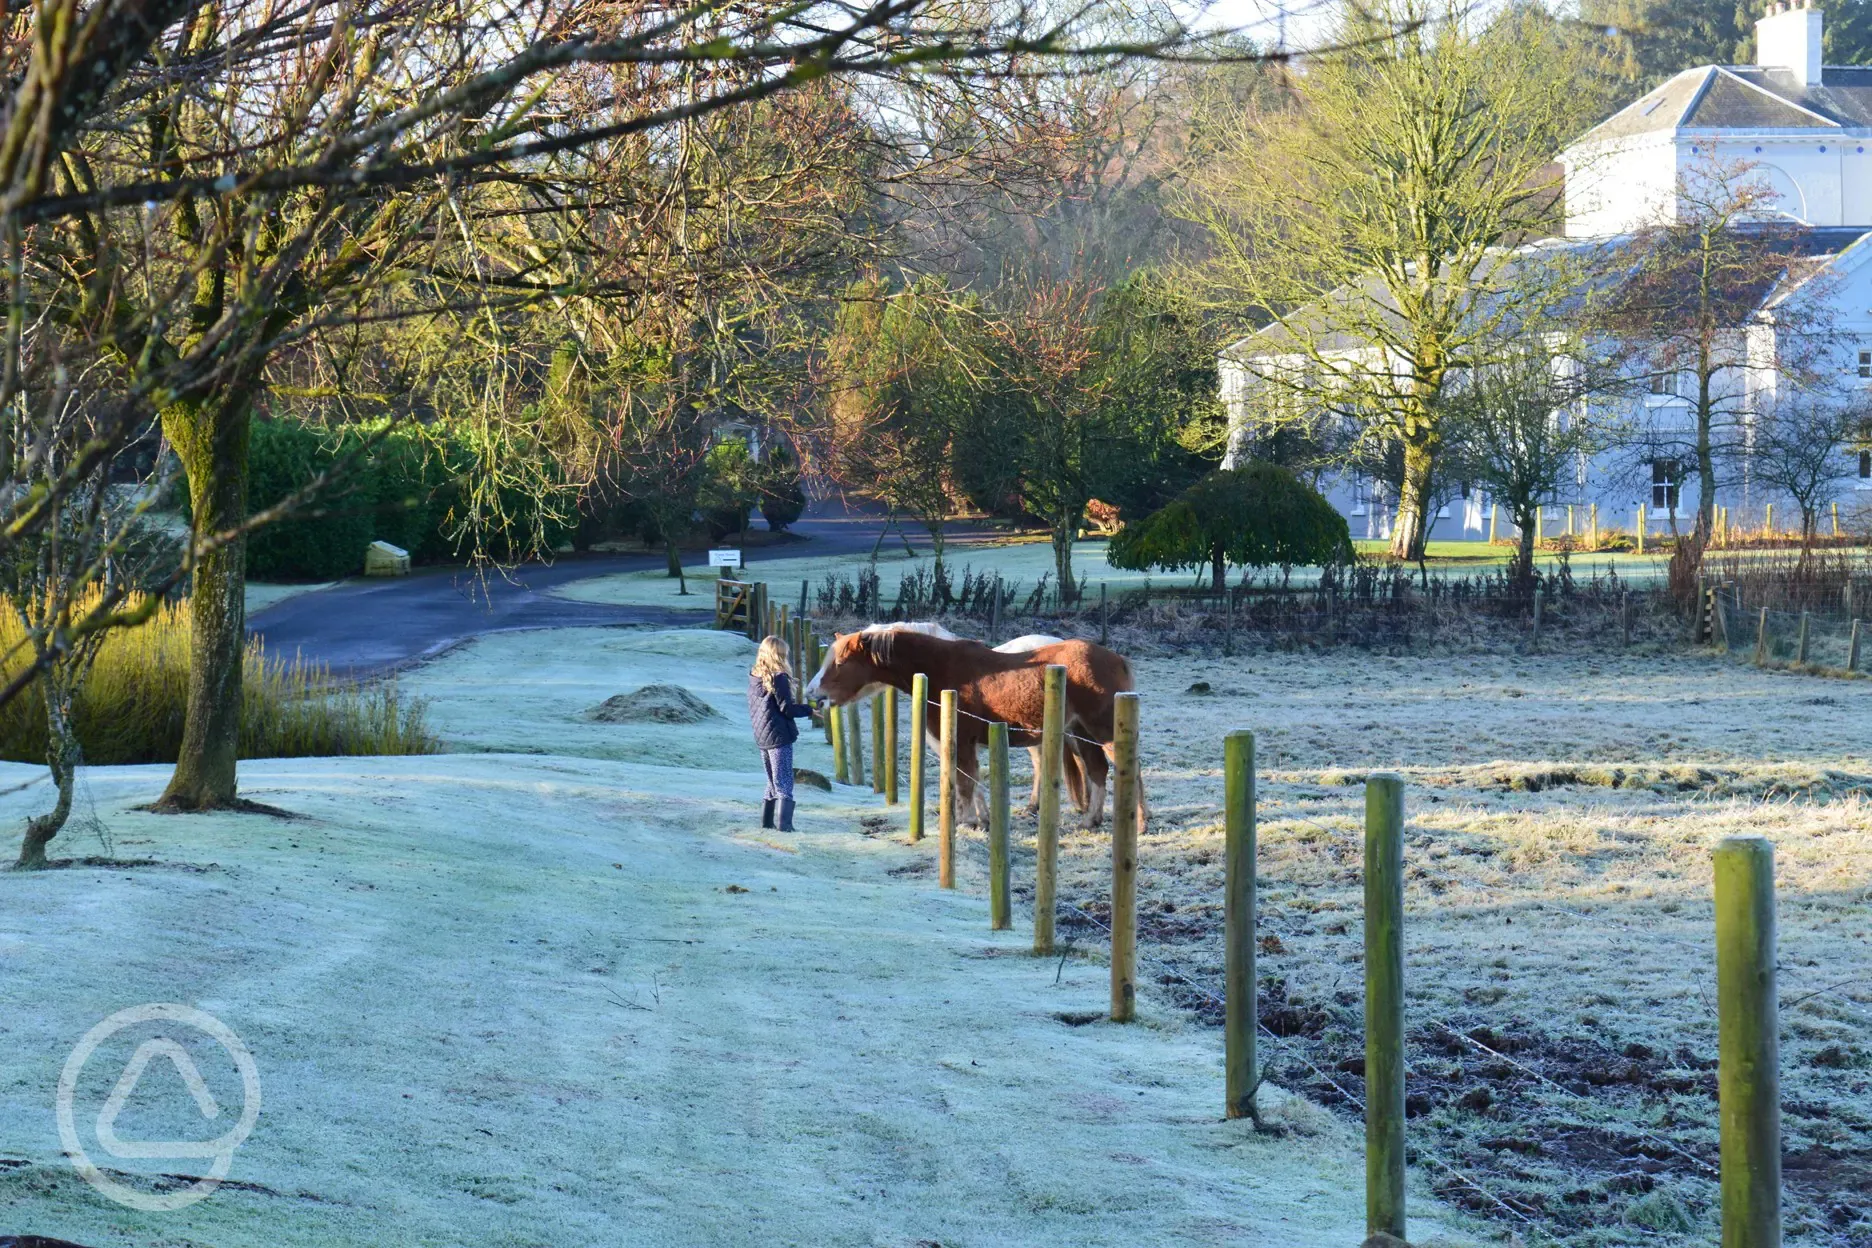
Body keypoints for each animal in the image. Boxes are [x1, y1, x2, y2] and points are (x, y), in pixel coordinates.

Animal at [812, 621, 1145, 834]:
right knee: (1097, 770)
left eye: (840, 663)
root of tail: (1117, 658)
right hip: (1082, 733)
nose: (814, 694)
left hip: (1102, 732)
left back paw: (1139, 823)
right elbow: (967, 780)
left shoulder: (961, 740)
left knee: (1126, 768)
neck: (940, 670)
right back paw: (1090, 820)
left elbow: (964, 782)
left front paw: (968, 822)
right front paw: (978, 819)